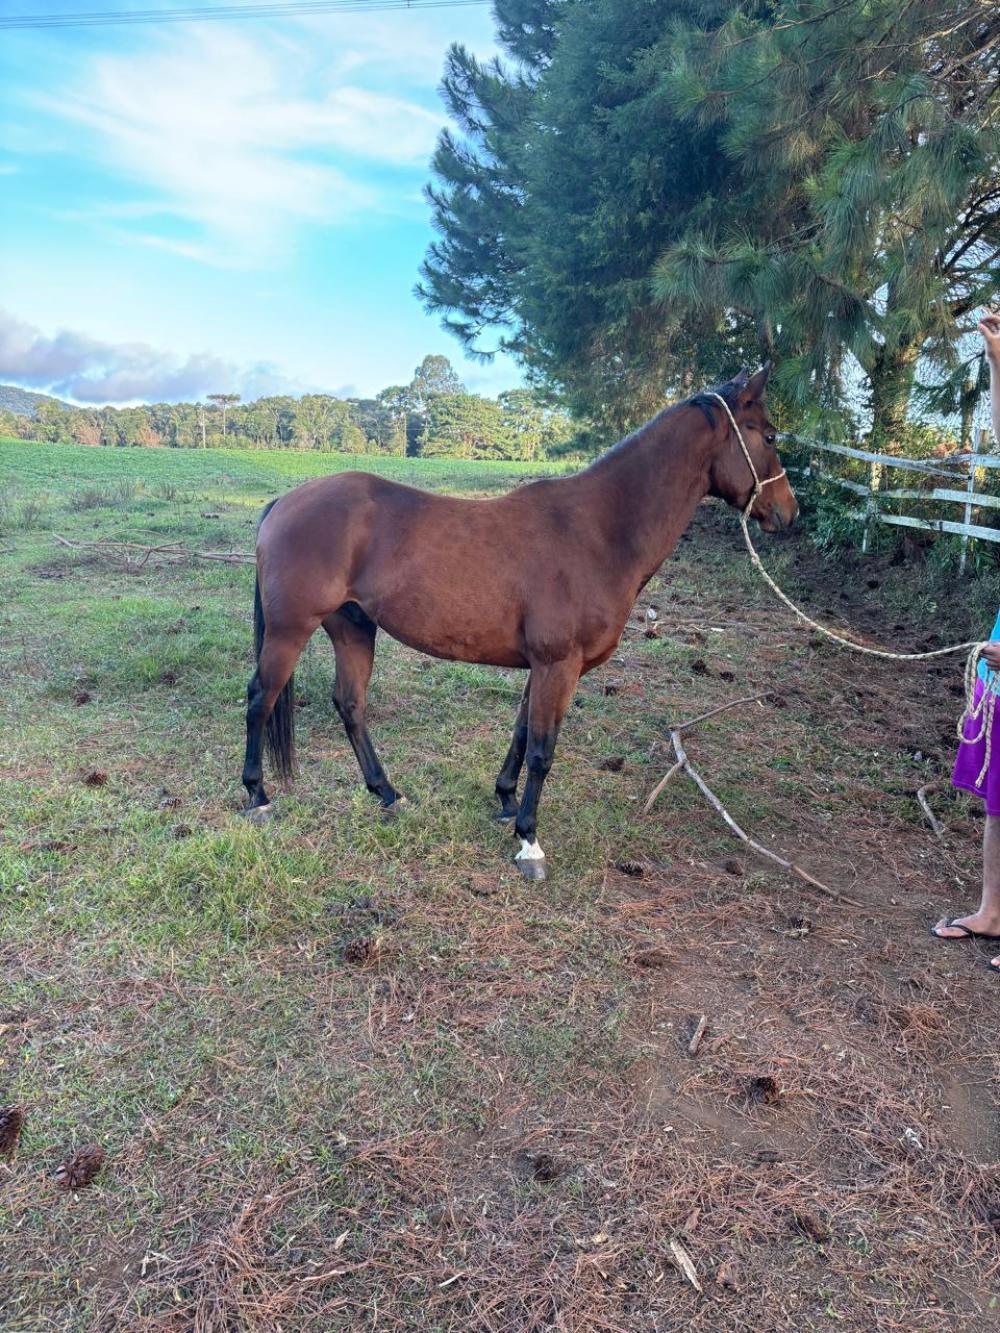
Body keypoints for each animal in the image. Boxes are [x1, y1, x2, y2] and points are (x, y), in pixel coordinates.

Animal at [240, 363, 797, 879]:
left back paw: (388, 794)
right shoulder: (558, 665)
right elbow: (543, 750)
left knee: (350, 704)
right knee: (260, 699)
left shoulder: (545, 666)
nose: (789, 513)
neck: (598, 531)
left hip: (353, 627)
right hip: (291, 631)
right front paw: (530, 841)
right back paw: (258, 796)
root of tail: (284, 503)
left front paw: (506, 802)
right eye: (769, 435)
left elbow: (523, 733)